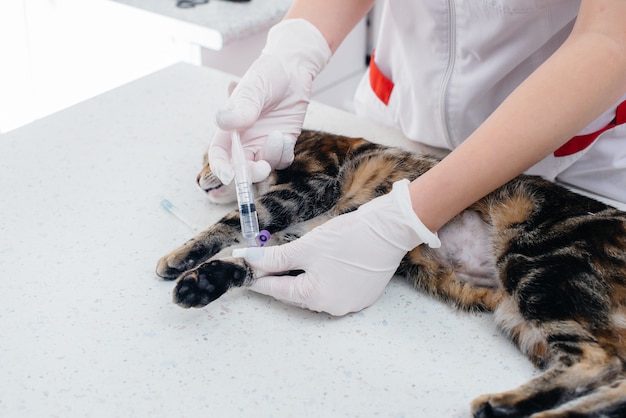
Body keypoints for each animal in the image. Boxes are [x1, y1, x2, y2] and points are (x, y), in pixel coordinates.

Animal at [155, 129, 624, 416]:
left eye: (209, 156)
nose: (197, 178)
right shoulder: (306, 239)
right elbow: (261, 256)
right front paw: (204, 278)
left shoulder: (309, 187)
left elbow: (236, 226)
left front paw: (184, 261)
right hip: (523, 318)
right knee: (612, 375)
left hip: (539, 270)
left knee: (596, 360)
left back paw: (503, 404)